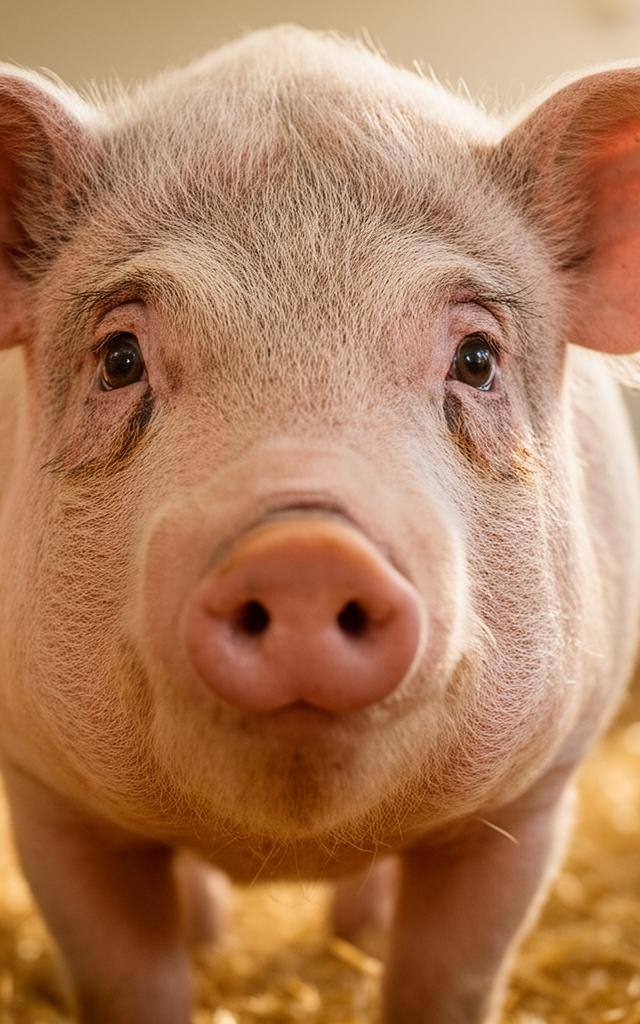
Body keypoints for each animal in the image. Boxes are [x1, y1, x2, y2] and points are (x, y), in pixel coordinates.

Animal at [1, 23, 640, 1024]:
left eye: (476, 358)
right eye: (119, 358)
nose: (304, 550)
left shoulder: (534, 797)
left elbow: (449, 976)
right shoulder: (47, 795)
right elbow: (126, 974)